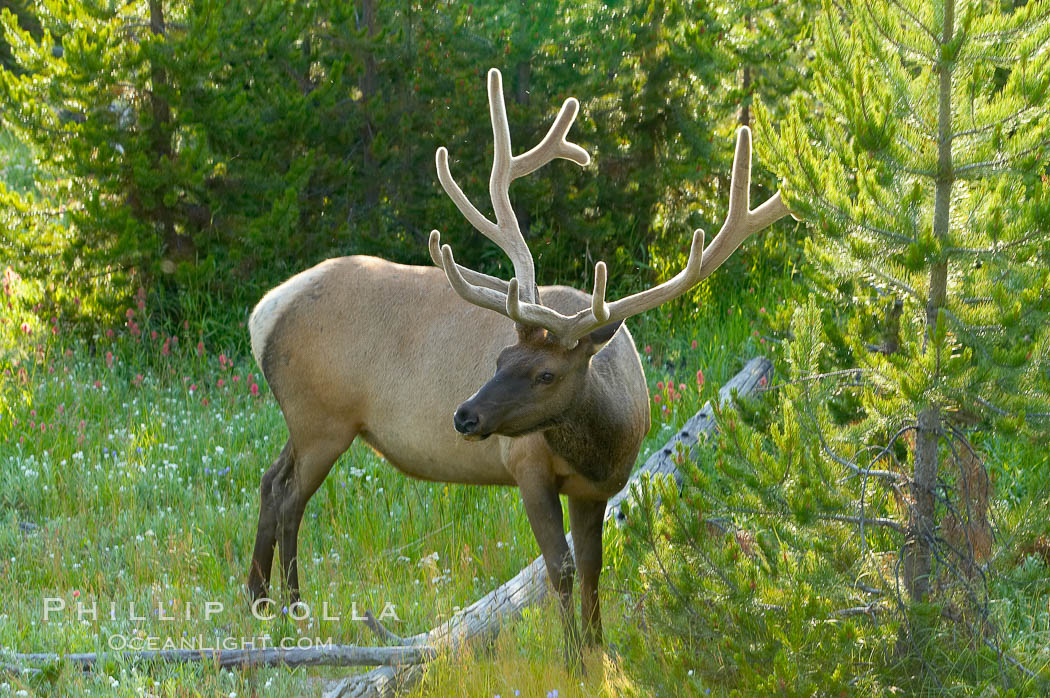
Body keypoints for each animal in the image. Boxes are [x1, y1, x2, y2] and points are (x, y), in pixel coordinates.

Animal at [245, 67, 791, 671]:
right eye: (502, 358)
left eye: (545, 374)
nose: (463, 415)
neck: (605, 440)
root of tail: (263, 312)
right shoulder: (527, 464)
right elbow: (561, 567)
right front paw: (573, 658)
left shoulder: (598, 486)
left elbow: (595, 567)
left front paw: (597, 650)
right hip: (323, 418)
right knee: (291, 500)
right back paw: (294, 611)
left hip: (307, 421)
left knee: (271, 482)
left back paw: (259, 603)